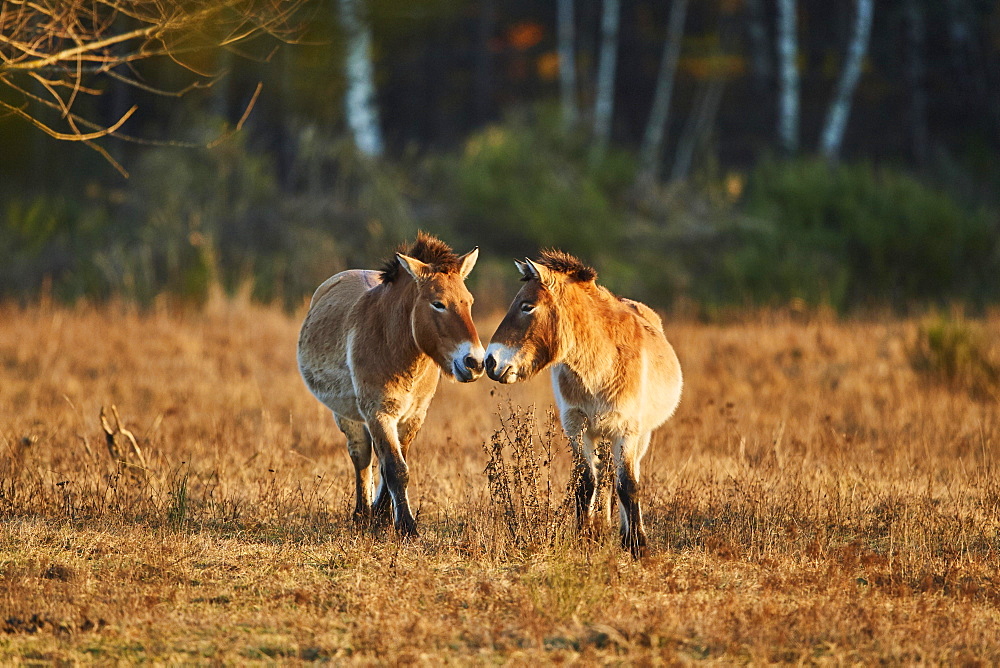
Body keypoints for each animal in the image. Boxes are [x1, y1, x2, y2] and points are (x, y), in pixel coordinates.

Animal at [296, 235, 484, 536]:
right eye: (438, 304)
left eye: (469, 302)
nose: (475, 362)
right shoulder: (378, 413)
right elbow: (395, 469)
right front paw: (406, 527)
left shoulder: (413, 417)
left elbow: (394, 466)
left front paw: (385, 519)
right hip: (348, 416)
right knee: (361, 454)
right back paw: (361, 515)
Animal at [484, 249, 680, 552]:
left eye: (527, 306)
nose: (490, 362)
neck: (599, 365)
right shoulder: (577, 428)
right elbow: (585, 483)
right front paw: (585, 538)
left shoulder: (626, 431)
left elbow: (628, 485)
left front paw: (637, 545)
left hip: (639, 436)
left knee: (627, 477)